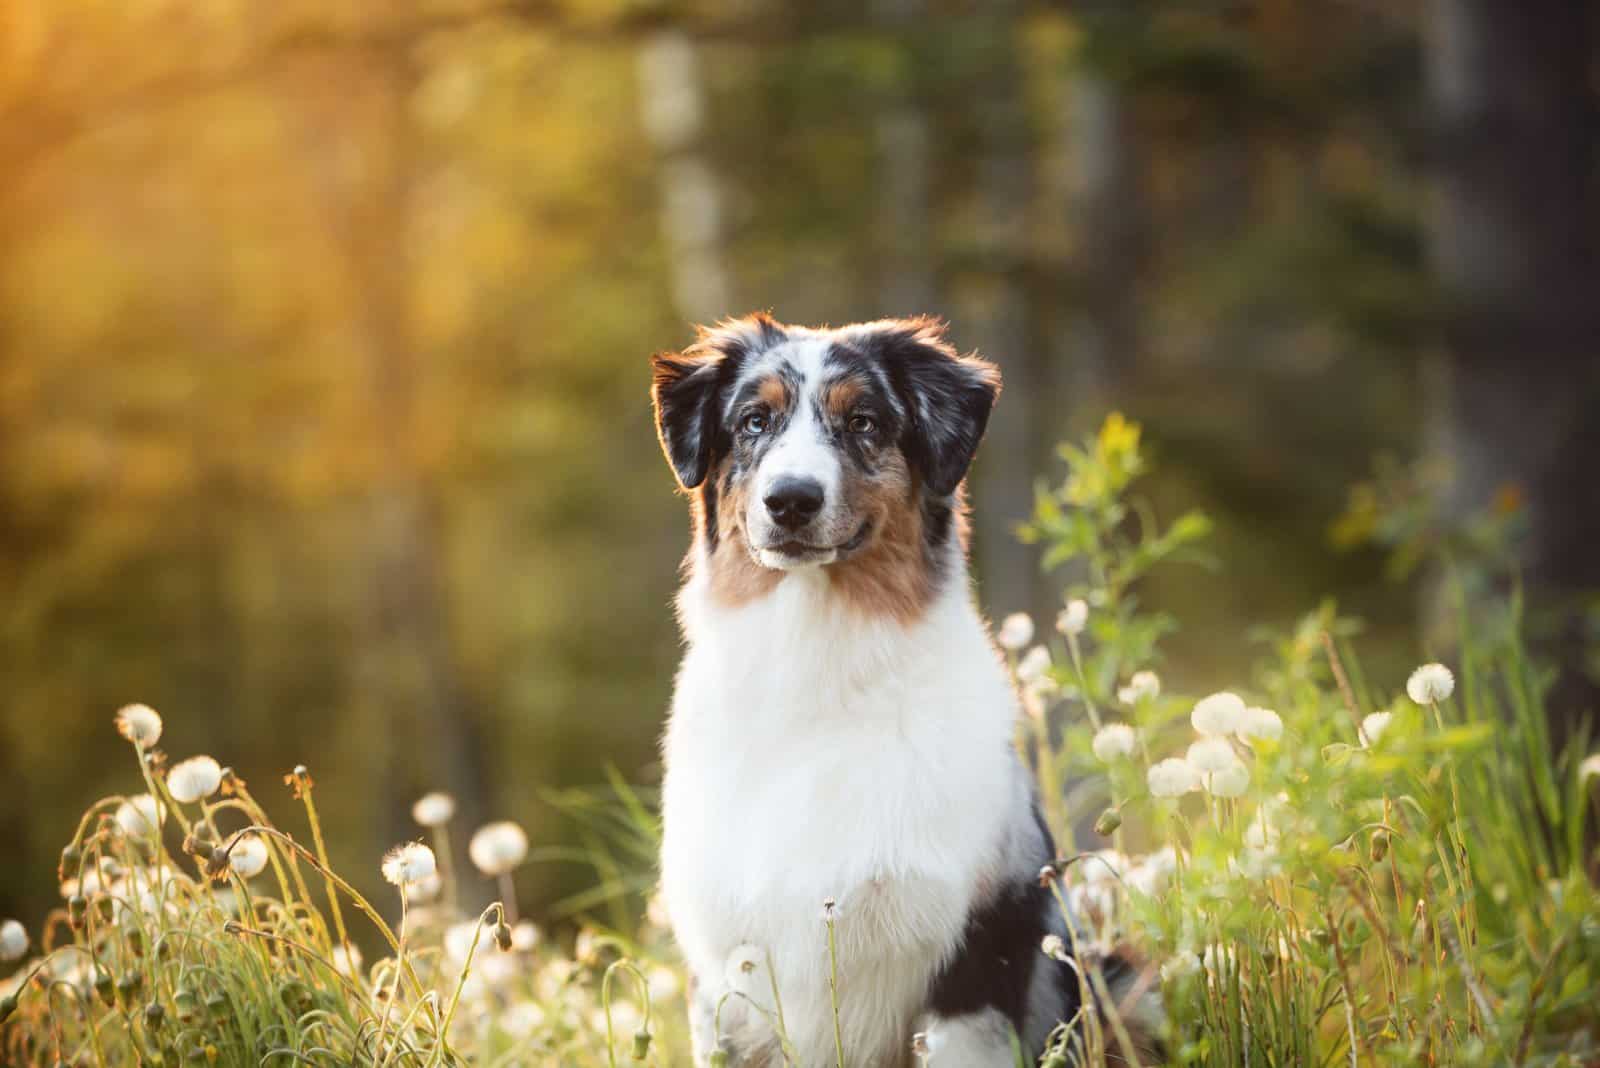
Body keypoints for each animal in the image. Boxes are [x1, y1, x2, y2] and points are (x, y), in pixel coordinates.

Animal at [649, 313, 1164, 1061]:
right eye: (753, 421)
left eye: (863, 421)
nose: (791, 499)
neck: (817, 658)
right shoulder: (724, 975)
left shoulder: (969, 964)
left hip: (1124, 984)